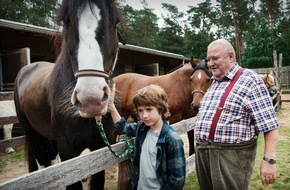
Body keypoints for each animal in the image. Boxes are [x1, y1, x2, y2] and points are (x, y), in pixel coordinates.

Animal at [13, 0, 121, 189]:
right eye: (67, 23)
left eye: (115, 23)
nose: (90, 99)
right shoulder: (67, 151)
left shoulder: (101, 148)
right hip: (31, 133)